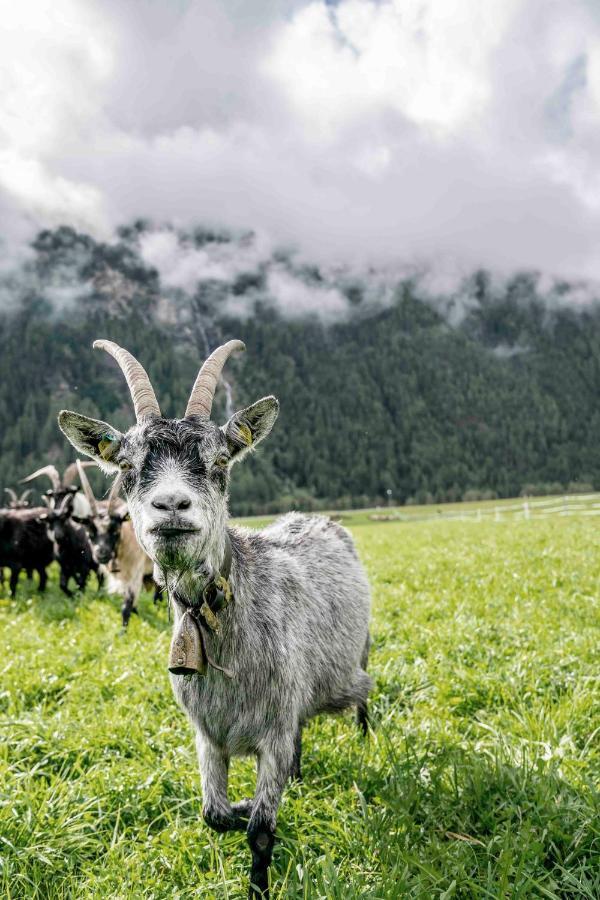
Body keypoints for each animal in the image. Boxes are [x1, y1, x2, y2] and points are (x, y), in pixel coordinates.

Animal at [59, 340, 370, 900]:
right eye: (127, 465)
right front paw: (243, 805)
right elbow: (214, 814)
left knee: (364, 695)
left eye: (220, 460)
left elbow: (261, 831)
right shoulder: (209, 735)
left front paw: (260, 880)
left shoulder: (272, 730)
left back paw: (366, 737)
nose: (171, 505)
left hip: (359, 654)